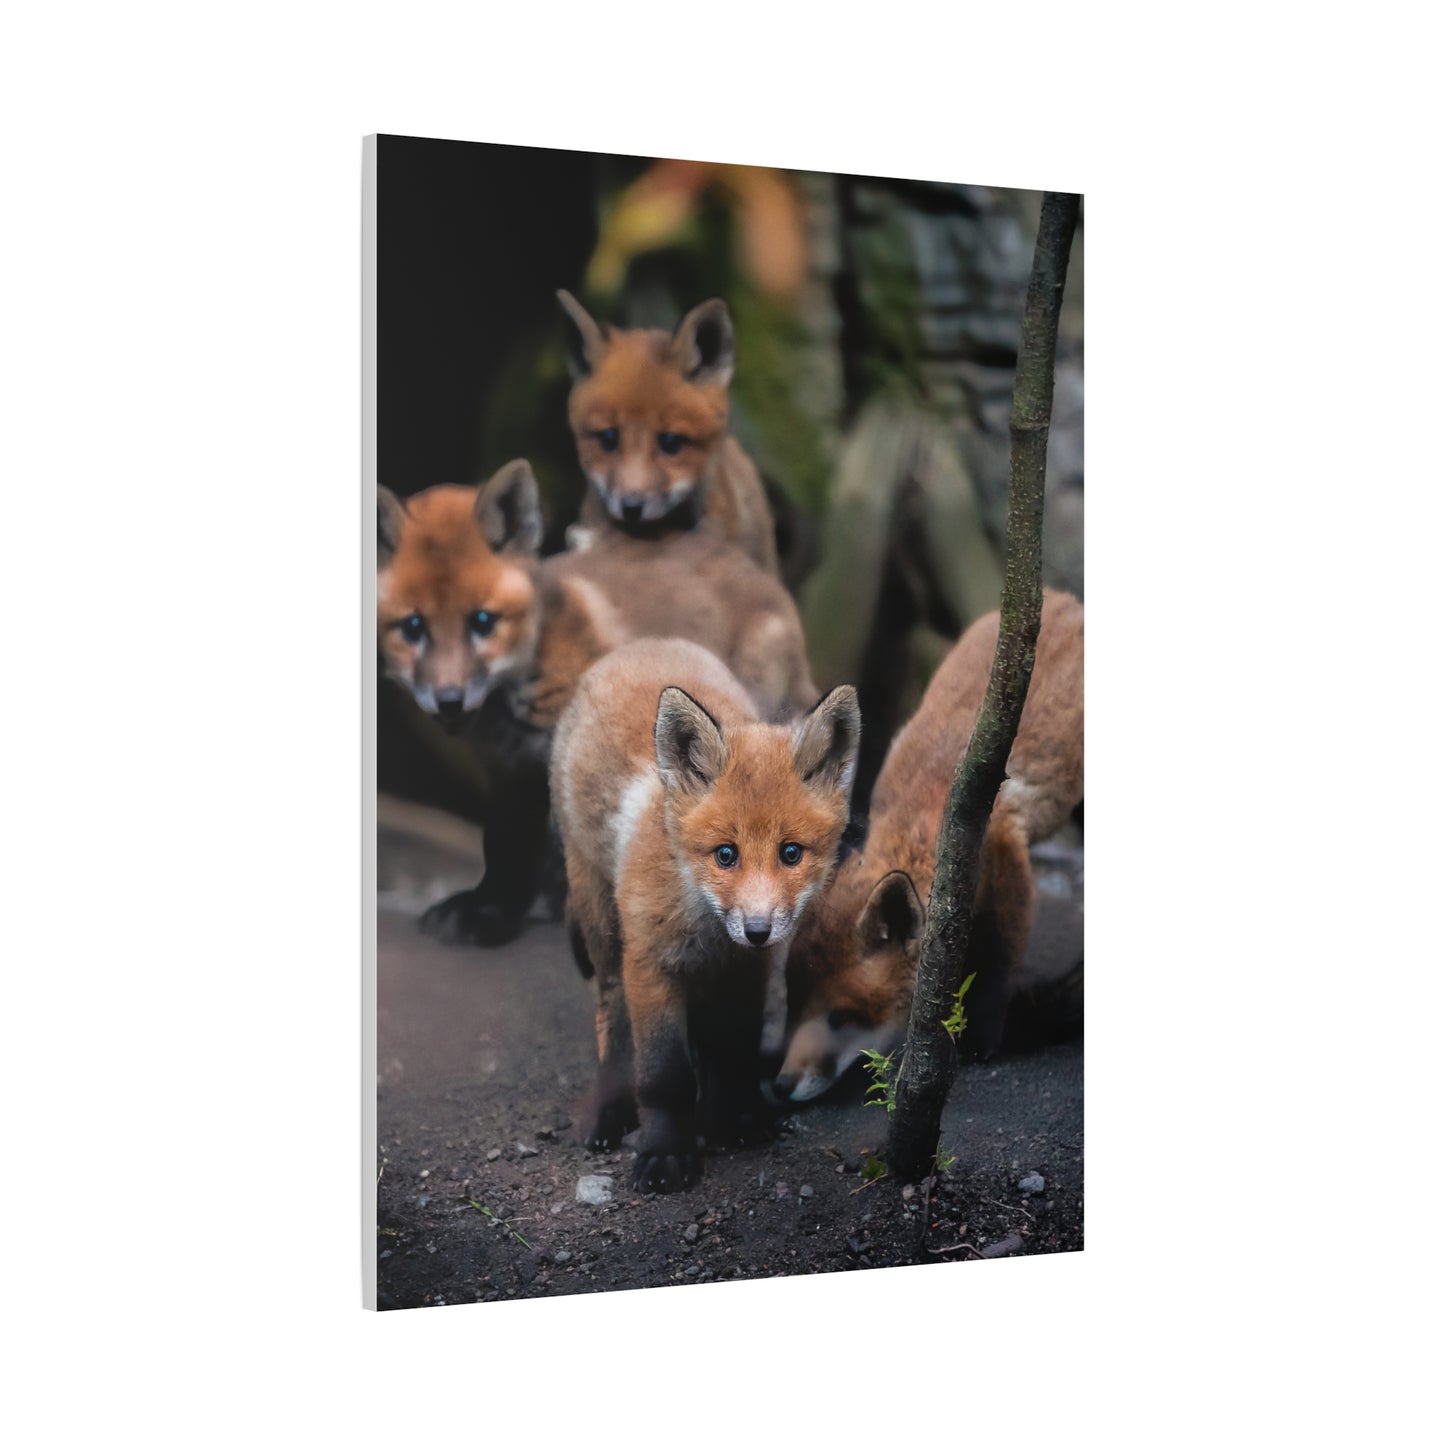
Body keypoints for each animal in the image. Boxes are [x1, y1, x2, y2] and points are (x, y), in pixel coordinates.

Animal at [377, 459, 817, 946]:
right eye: (413, 628)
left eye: (483, 622)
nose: (449, 701)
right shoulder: (511, 766)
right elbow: (504, 841)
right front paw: (491, 907)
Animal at [552, 637, 861, 1192]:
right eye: (725, 855)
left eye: (790, 853)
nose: (757, 930)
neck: (707, 930)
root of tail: (643, 644)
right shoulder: (650, 965)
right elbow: (662, 1075)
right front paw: (664, 1152)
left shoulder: (746, 972)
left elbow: (731, 1051)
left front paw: (733, 1120)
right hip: (603, 930)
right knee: (611, 1018)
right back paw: (609, 1111)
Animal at [776, 588, 1084, 1103]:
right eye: (794, 1005)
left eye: (840, 1017)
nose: (780, 1085)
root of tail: (1062, 597)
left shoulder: (1007, 860)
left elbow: (998, 962)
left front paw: (979, 1041)